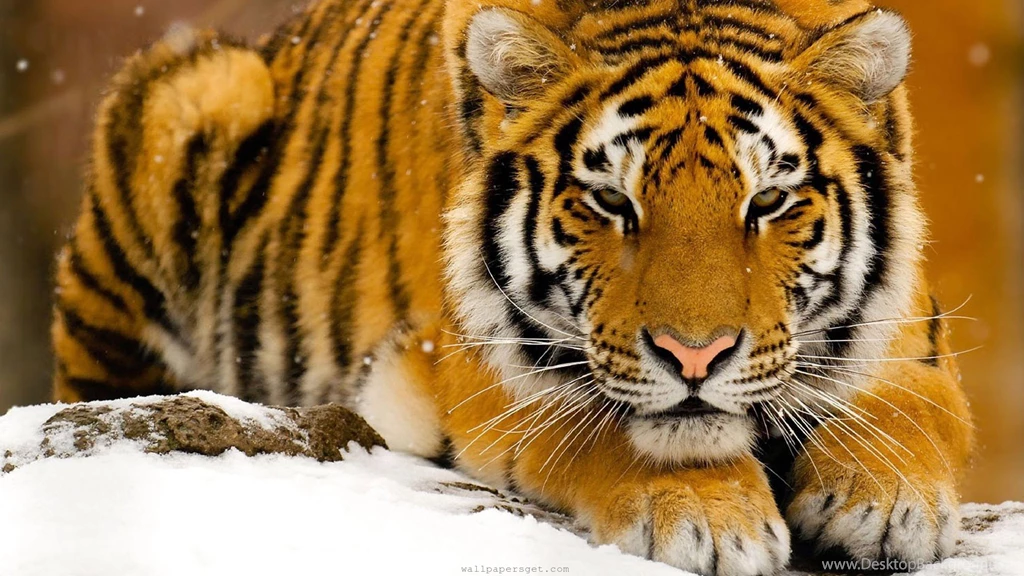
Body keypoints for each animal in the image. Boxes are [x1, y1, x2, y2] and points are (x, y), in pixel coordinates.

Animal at [50, 0, 975, 573]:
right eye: (612, 202)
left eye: (768, 202)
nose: (694, 356)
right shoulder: (478, 362)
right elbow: (603, 427)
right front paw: (706, 517)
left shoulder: (910, 336)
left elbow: (908, 412)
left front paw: (885, 500)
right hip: (193, 96)